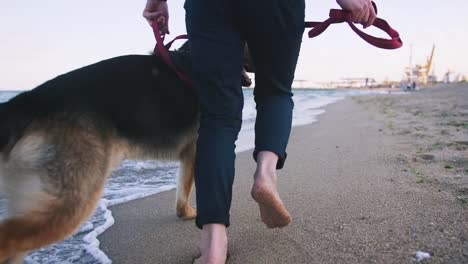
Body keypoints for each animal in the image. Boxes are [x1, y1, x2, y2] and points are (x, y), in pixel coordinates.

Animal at [0, 42, 254, 262]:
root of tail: (27, 102)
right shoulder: (196, 151)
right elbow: (191, 187)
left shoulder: (190, 156)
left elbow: (181, 191)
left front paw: (184, 213)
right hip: (74, 200)